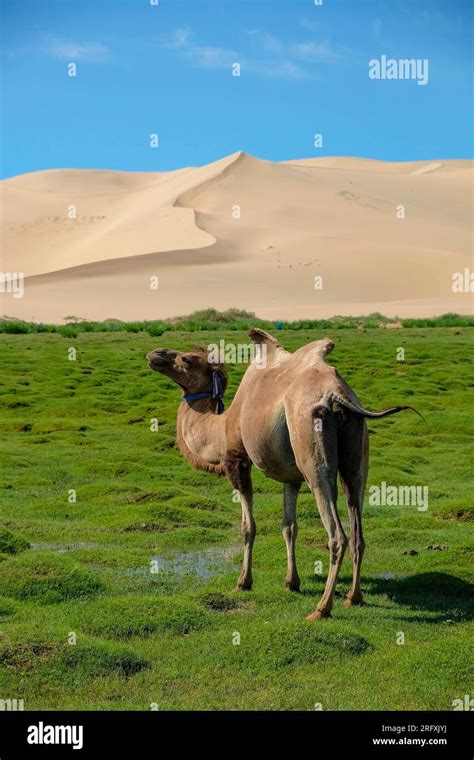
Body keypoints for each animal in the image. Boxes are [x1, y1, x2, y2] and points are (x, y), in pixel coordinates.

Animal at [146, 330, 416, 620]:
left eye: (186, 360)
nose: (156, 354)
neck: (222, 426)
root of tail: (338, 394)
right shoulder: (291, 477)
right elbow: (289, 526)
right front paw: (292, 582)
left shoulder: (237, 461)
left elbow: (248, 526)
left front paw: (243, 582)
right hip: (357, 451)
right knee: (357, 524)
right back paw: (353, 598)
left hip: (311, 445)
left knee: (337, 534)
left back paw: (322, 608)